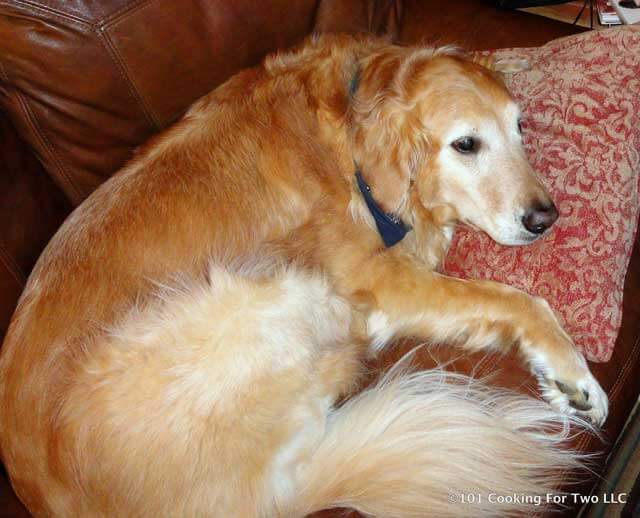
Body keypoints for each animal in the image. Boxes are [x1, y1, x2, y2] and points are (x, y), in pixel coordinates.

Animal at [0, 34, 608, 516]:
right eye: (465, 144)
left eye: (519, 129)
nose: (545, 218)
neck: (350, 145)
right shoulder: (377, 277)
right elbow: (517, 300)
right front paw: (574, 376)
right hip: (264, 294)